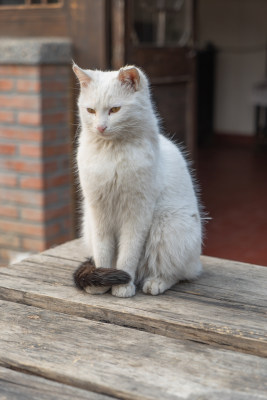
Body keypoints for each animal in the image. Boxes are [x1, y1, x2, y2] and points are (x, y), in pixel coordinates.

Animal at [72, 64, 202, 296]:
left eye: (115, 110)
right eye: (91, 111)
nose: (100, 127)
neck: (112, 152)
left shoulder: (137, 213)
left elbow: (128, 254)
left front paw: (123, 286)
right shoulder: (98, 212)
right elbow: (103, 251)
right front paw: (101, 283)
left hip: (169, 226)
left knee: (180, 273)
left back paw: (155, 282)